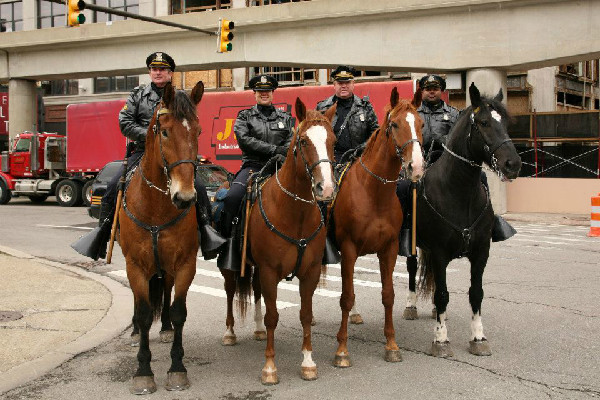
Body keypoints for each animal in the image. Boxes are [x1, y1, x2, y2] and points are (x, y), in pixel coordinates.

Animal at [118, 80, 205, 394]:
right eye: (164, 131)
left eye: (197, 131)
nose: (185, 197)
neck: (156, 206)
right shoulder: (135, 265)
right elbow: (144, 313)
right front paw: (143, 372)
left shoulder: (185, 263)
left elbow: (179, 311)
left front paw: (177, 368)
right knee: (138, 303)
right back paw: (133, 331)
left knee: (166, 291)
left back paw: (165, 328)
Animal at [221, 97, 338, 384]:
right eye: (303, 141)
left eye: (333, 141)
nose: (326, 189)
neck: (294, 213)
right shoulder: (270, 271)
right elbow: (273, 315)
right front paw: (270, 368)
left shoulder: (310, 272)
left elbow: (305, 315)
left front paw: (308, 362)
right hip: (231, 268)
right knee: (230, 292)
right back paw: (230, 333)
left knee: (255, 291)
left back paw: (257, 329)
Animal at [330, 86, 424, 366]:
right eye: (394, 124)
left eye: (421, 124)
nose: (416, 166)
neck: (373, 193)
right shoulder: (349, 248)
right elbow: (346, 297)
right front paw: (342, 349)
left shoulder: (388, 249)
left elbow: (388, 295)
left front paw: (391, 345)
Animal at [408, 83, 520, 358]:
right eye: (483, 122)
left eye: (506, 123)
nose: (513, 164)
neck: (460, 192)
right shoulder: (438, 252)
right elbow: (442, 294)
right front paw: (440, 340)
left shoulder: (481, 251)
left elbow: (476, 293)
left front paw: (478, 337)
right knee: (413, 268)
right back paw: (411, 306)